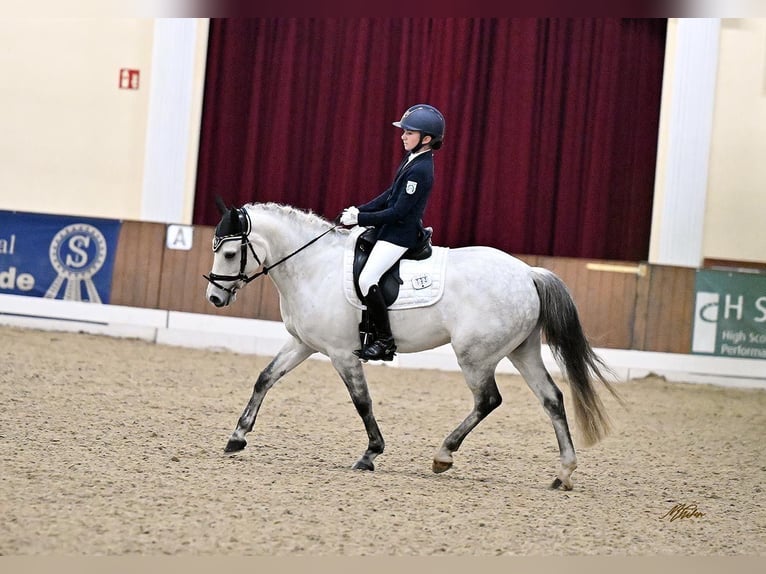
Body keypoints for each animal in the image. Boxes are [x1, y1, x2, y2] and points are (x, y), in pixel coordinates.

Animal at [206, 202, 624, 490]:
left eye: (229, 253)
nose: (214, 298)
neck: (313, 267)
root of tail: (527, 273)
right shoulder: (302, 344)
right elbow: (265, 378)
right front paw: (237, 437)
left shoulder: (342, 354)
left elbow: (362, 402)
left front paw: (370, 454)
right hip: (522, 351)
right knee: (551, 398)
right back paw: (563, 473)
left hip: (475, 356)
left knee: (488, 400)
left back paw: (443, 455)